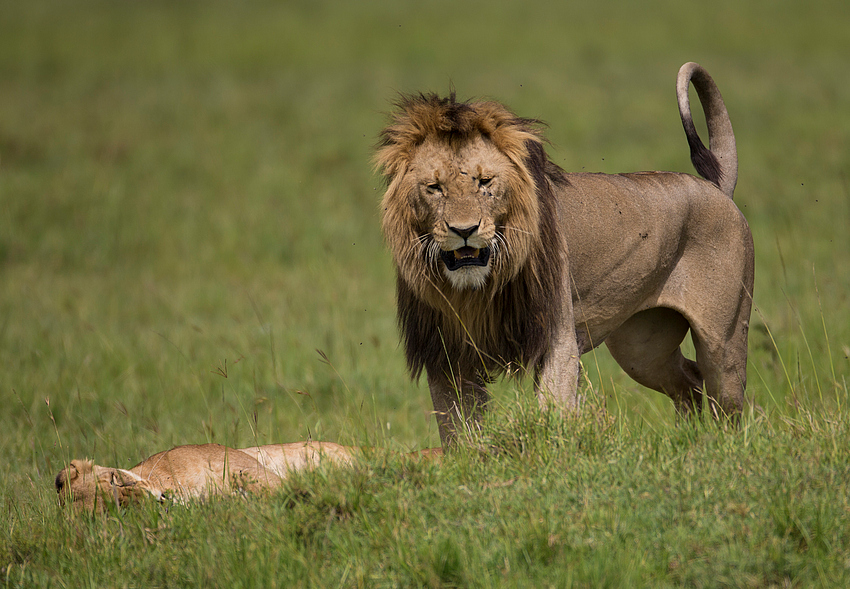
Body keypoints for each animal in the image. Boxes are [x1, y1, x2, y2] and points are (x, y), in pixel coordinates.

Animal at [376, 62, 748, 444]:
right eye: (434, 188)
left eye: (485, 182)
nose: (464, 231)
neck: (477, 291)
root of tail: (716, 187)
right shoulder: (445, 353)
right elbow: (457, 428)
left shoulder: (557, 333)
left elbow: (551, 406)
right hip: (642, 349)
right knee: (688, 382)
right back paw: (687, 439)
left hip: (723, 343)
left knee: (726, 401)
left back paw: (720, 447)